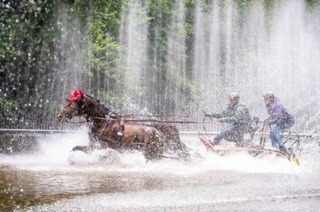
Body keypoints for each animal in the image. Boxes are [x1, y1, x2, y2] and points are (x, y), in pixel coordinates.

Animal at [57, 89, 189, 161]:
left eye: (71, 105)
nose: (59, 116)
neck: (103, 122)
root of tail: (158, 133)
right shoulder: (94, 144)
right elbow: (76, 148)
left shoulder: (102, 146)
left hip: (150, 151)